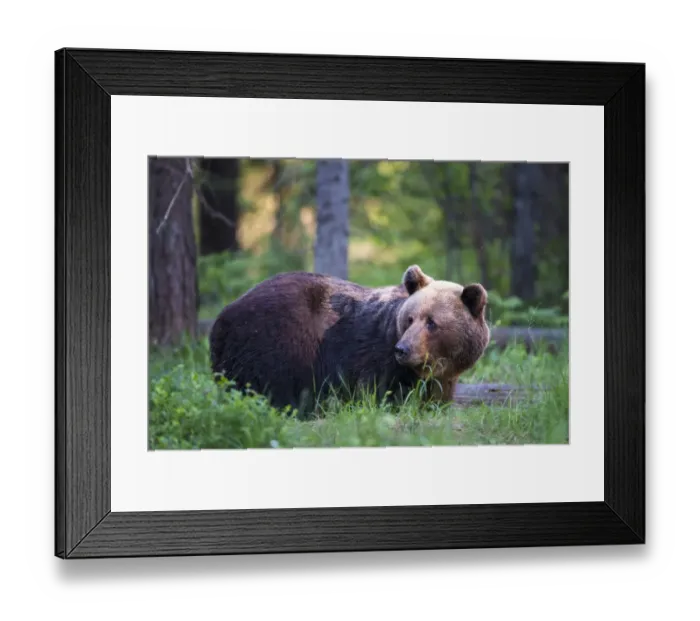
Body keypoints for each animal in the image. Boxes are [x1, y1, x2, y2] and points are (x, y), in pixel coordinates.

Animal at [208, 264, 490, 415]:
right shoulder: (372, 356)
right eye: (410, 319)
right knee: (272, 381)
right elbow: (377, 392)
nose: (403, 349)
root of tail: (222, 316)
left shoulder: (442, 378)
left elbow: (435, 399)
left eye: (432, 322)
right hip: (276, 336)